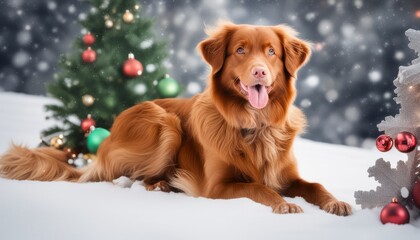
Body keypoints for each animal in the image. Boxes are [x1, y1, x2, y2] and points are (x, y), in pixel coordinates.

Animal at [0, 22, 352, 216]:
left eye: (271, 53)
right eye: (240, 50)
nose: (259, 72)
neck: (255, 125)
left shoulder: (287, 175)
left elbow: (315, 185)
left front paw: (336, 203)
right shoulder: (217, 187)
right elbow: (259, 188)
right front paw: (284, 204)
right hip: (163, 122)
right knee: (121, 178)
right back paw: (159, 185)